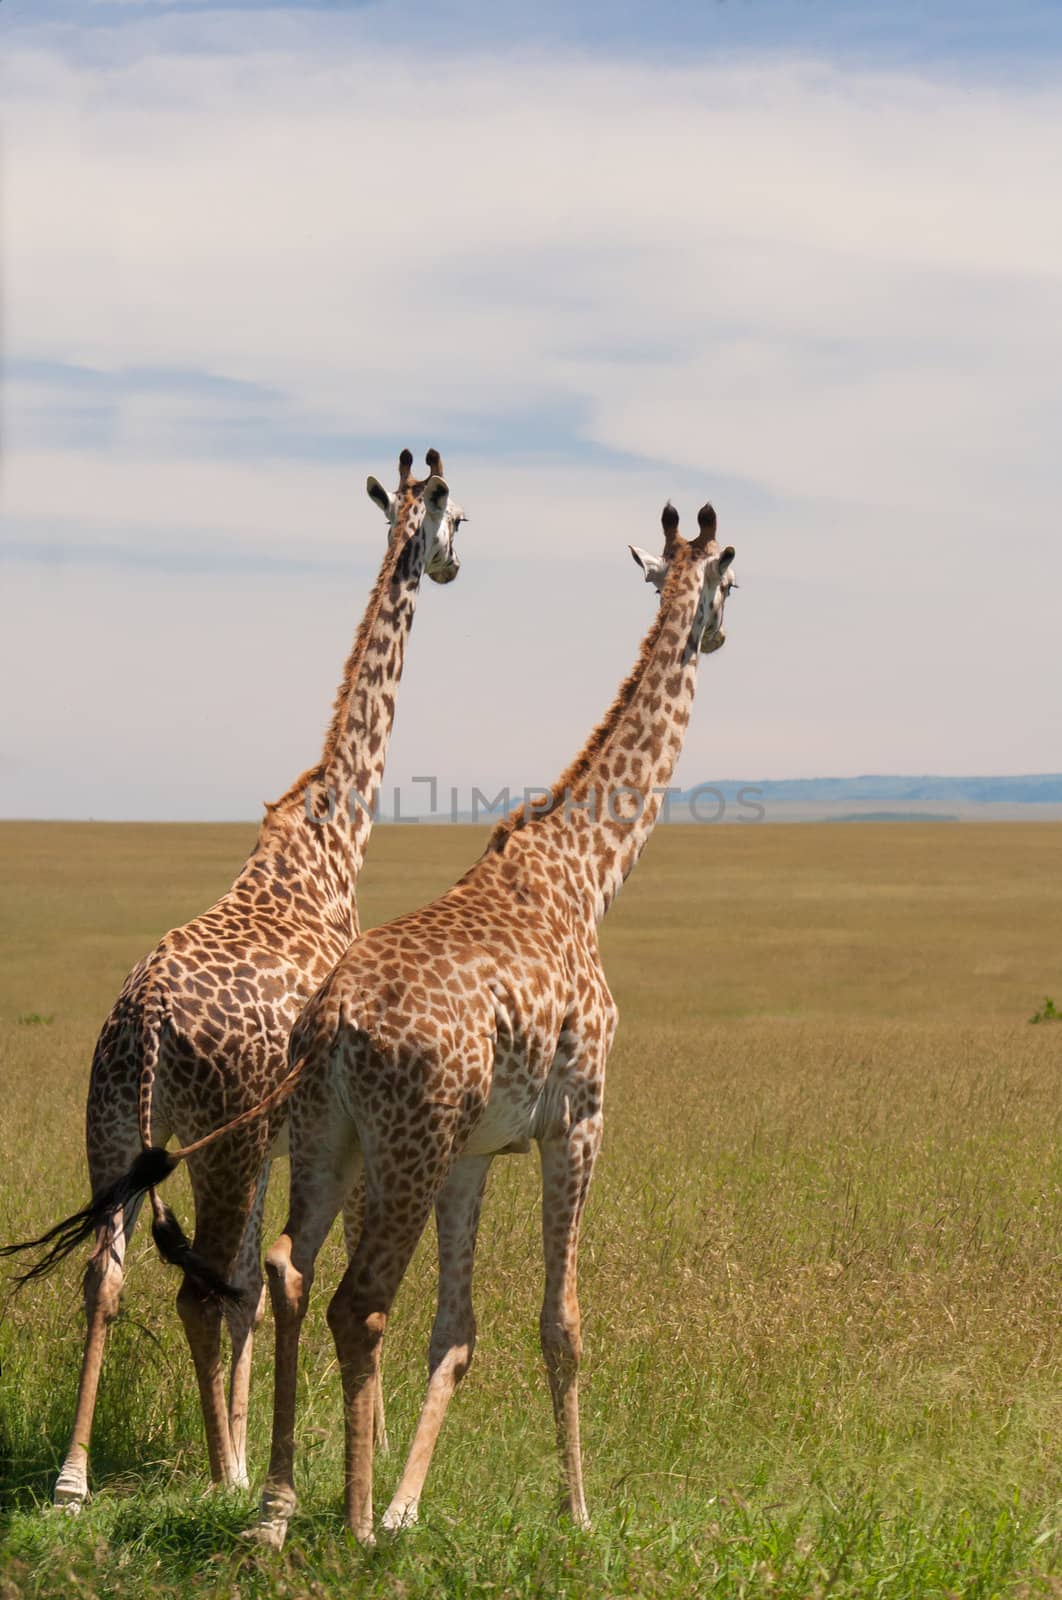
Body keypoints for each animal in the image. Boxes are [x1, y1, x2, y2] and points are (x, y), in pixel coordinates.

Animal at [1, 451, 463, 1510]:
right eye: (458, 517)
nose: (455, 563)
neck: (335, 839)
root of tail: (146, 1027)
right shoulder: (303, 1125)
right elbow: (273, 1279)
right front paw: (268, 1463)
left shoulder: (269, 1134)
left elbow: (253, 1283)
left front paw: (253, 1453)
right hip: (217, 1140)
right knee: (196, 1284)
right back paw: (216, 1477)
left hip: (115, 1129)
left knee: (108, 1277)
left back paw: (74, 1478)